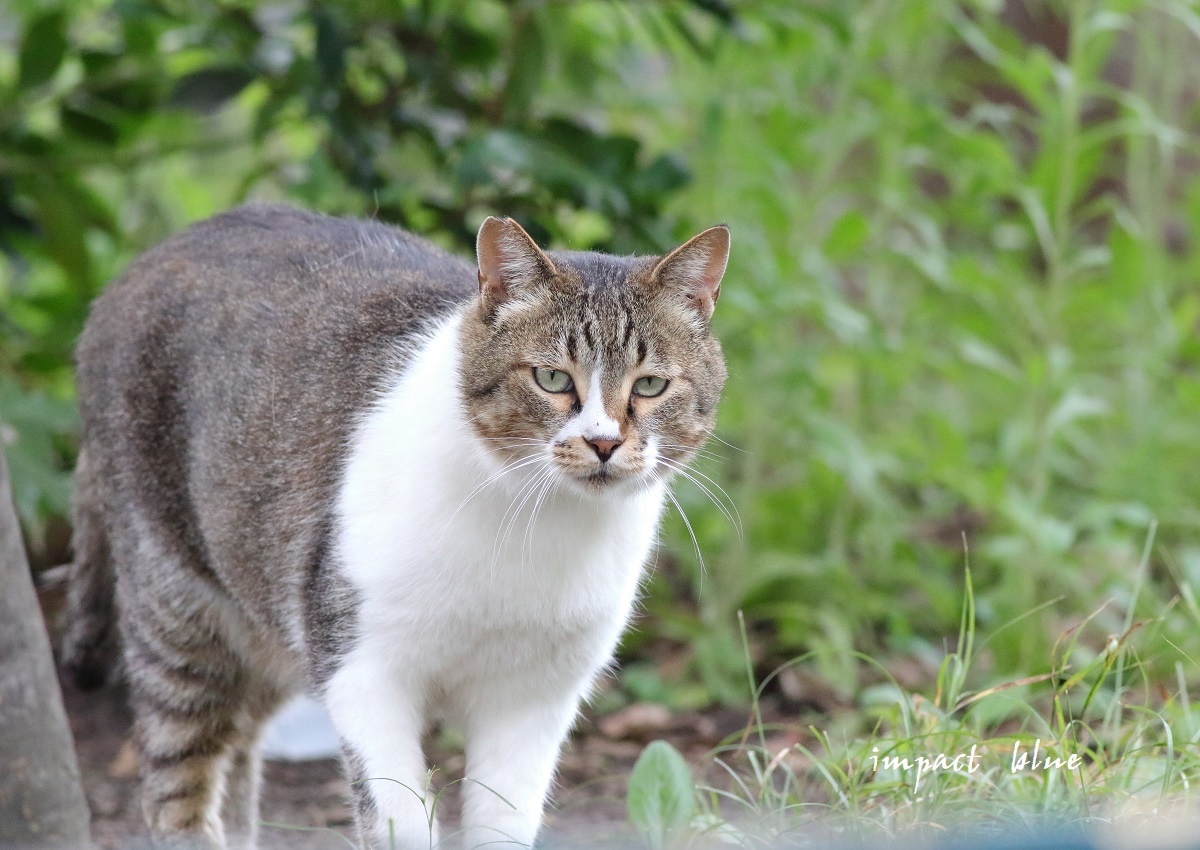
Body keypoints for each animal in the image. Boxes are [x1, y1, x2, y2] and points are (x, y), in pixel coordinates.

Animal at [65, 204, 729, 850]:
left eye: (650, 385)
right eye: (552, 379)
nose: (603, 443)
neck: (537, 524)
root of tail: (136, 267)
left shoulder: (534, 700)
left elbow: (502, 823)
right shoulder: (361, 669)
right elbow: (399, 819)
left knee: (240, 752)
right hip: (175, 608)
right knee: (178, 783)